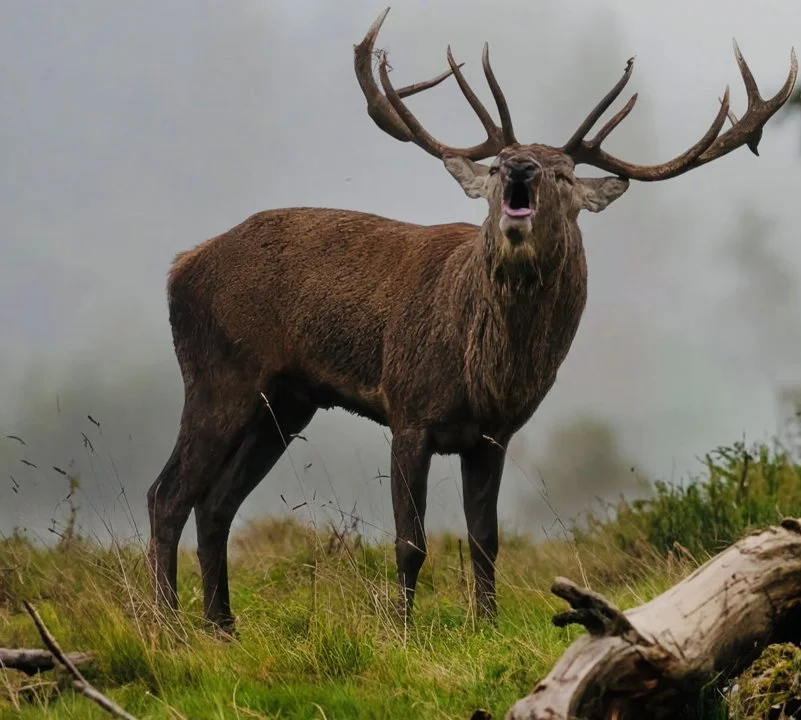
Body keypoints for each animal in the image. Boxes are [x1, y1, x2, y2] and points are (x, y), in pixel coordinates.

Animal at [146, 7, 797, 633]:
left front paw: (484, 624)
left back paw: (221, 626)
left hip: (285, 401)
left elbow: (485, 540)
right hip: (220, 373)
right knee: (168, 494)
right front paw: (403, 633)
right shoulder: (408, 410)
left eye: (563, 173)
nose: (520, 167)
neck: (484, 370)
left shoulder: (493, 435)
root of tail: (179, 267)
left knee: (216, 503)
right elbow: (411, 542)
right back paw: (168, 627)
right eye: (500, 164)